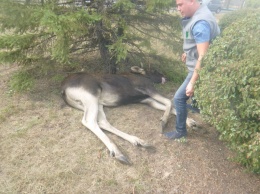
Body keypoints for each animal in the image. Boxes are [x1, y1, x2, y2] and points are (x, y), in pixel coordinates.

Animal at [60, 66, 195, 164]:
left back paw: (137, 141)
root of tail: (63, 89)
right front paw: (163, 122)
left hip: (96, 103)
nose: (165, 77)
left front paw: (191, 122)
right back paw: (118, 152)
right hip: (91, 97)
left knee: (102, 122)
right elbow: (169, 102)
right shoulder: (148, 89)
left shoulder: (146, 99)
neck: (145, 77)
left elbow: (170, 107)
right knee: (89, 121)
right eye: (154, 71)